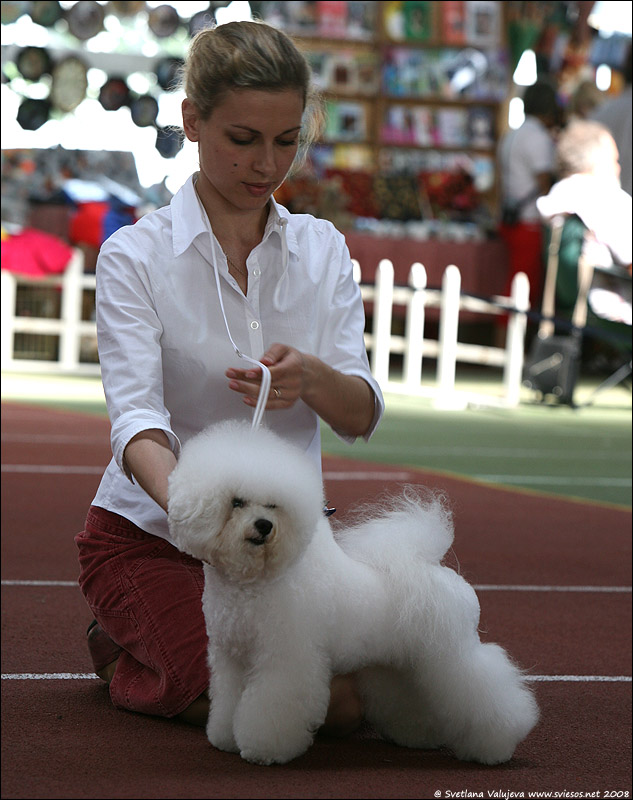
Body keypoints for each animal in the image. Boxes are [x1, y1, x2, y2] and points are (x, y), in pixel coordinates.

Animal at [168, 420, 538, 766]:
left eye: (273, 506)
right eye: (236, 502)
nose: (264, 526)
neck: (256, 583)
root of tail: (439, 573)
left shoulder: (284, 658)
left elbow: (270, 706)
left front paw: (265, 750)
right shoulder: (231, 659)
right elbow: (228, 701)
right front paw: (225, 739)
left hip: (449, 654)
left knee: (487, 691)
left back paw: (496, 746)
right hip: (402, 664)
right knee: (413, 699)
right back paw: (417, 736)